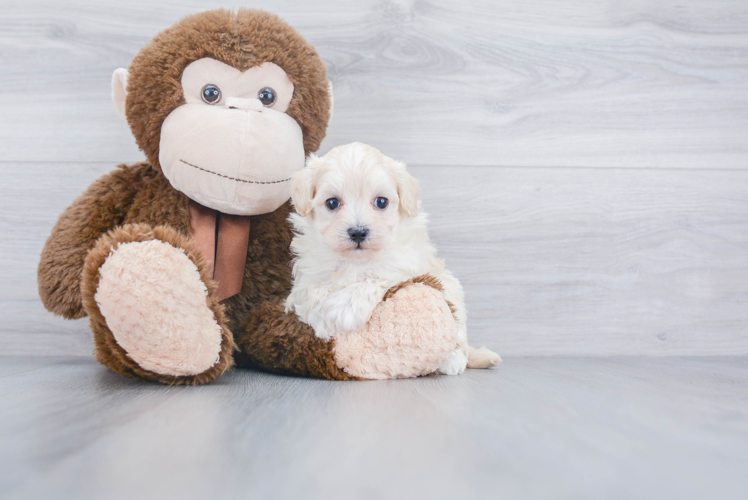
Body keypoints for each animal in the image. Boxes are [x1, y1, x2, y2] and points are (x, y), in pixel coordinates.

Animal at [284, 143, 500, 374]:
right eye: (332, 203)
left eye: (381, 202)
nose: (358, 232)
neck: (355, 260)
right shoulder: (306, 277)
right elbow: (311, 293)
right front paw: (323, 321)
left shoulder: (406, 266)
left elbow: (376, 277)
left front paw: (345, 308)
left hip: (453, 293)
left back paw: (453, 360)